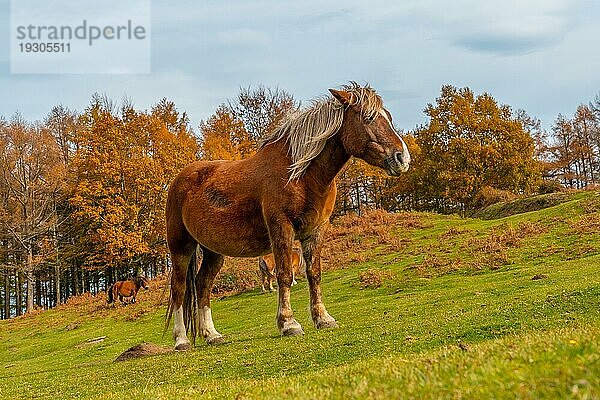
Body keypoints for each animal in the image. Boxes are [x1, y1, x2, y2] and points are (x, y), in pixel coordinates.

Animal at [166, 82, 410, 350]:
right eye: (368, 118)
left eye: (389, 117)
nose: (402, 158)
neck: (302, 176)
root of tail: (180, 180)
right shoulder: (281, 227)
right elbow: (284, 275)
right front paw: (288, 323)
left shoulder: (316, 230)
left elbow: (314, 274)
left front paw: (323, 319)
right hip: (181, 247)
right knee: (179, 288)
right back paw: (181, 340)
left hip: (213, 251)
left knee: (202, 285)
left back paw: (211, 334)